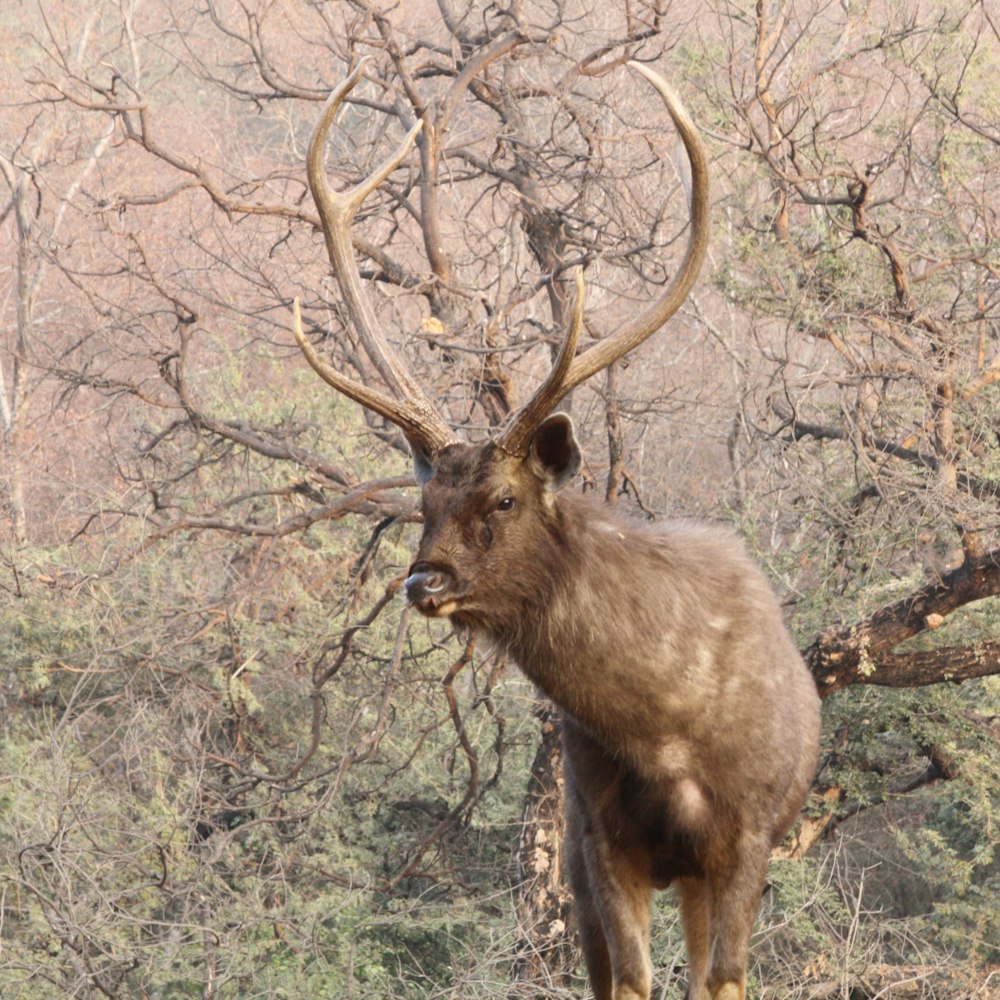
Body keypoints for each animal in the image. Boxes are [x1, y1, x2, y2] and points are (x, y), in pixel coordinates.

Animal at [292, 56, 820, 1000]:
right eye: (424, 507)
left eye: (503, 500)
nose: (424, 582)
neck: (668, 726)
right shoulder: (598, 836)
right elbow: (630, 980)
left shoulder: (750, 834)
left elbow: (719, 978)